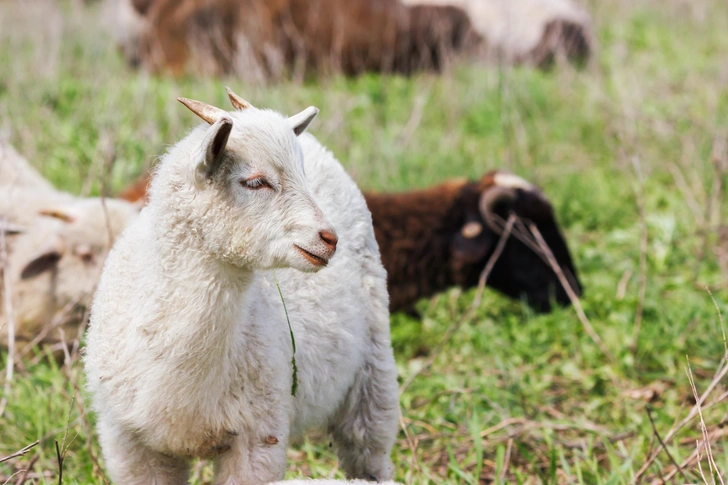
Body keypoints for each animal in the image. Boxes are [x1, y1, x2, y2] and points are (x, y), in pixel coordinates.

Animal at [84, 89, 398, 482]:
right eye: (255, 181)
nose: (329, 238)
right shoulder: (128, 444)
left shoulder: (260, 434)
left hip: (374, 365)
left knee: (369, 448)